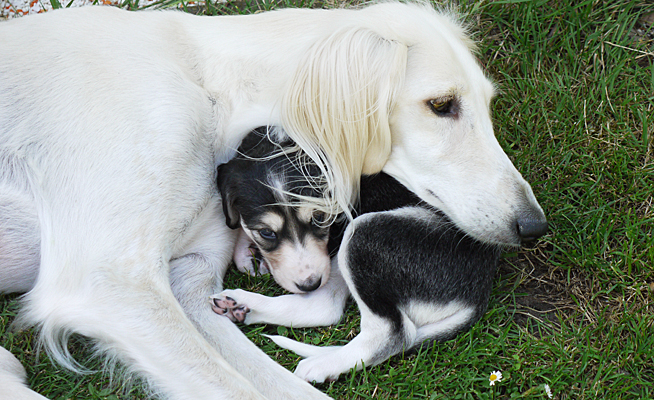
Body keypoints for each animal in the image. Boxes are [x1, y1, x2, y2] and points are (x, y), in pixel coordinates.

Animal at [0, 1, 548, 398]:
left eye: (488, 104)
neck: (207, 85)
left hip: (362, 232)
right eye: (441, 105)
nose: (534, 226)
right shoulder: (110, 283)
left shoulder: (187, 278)